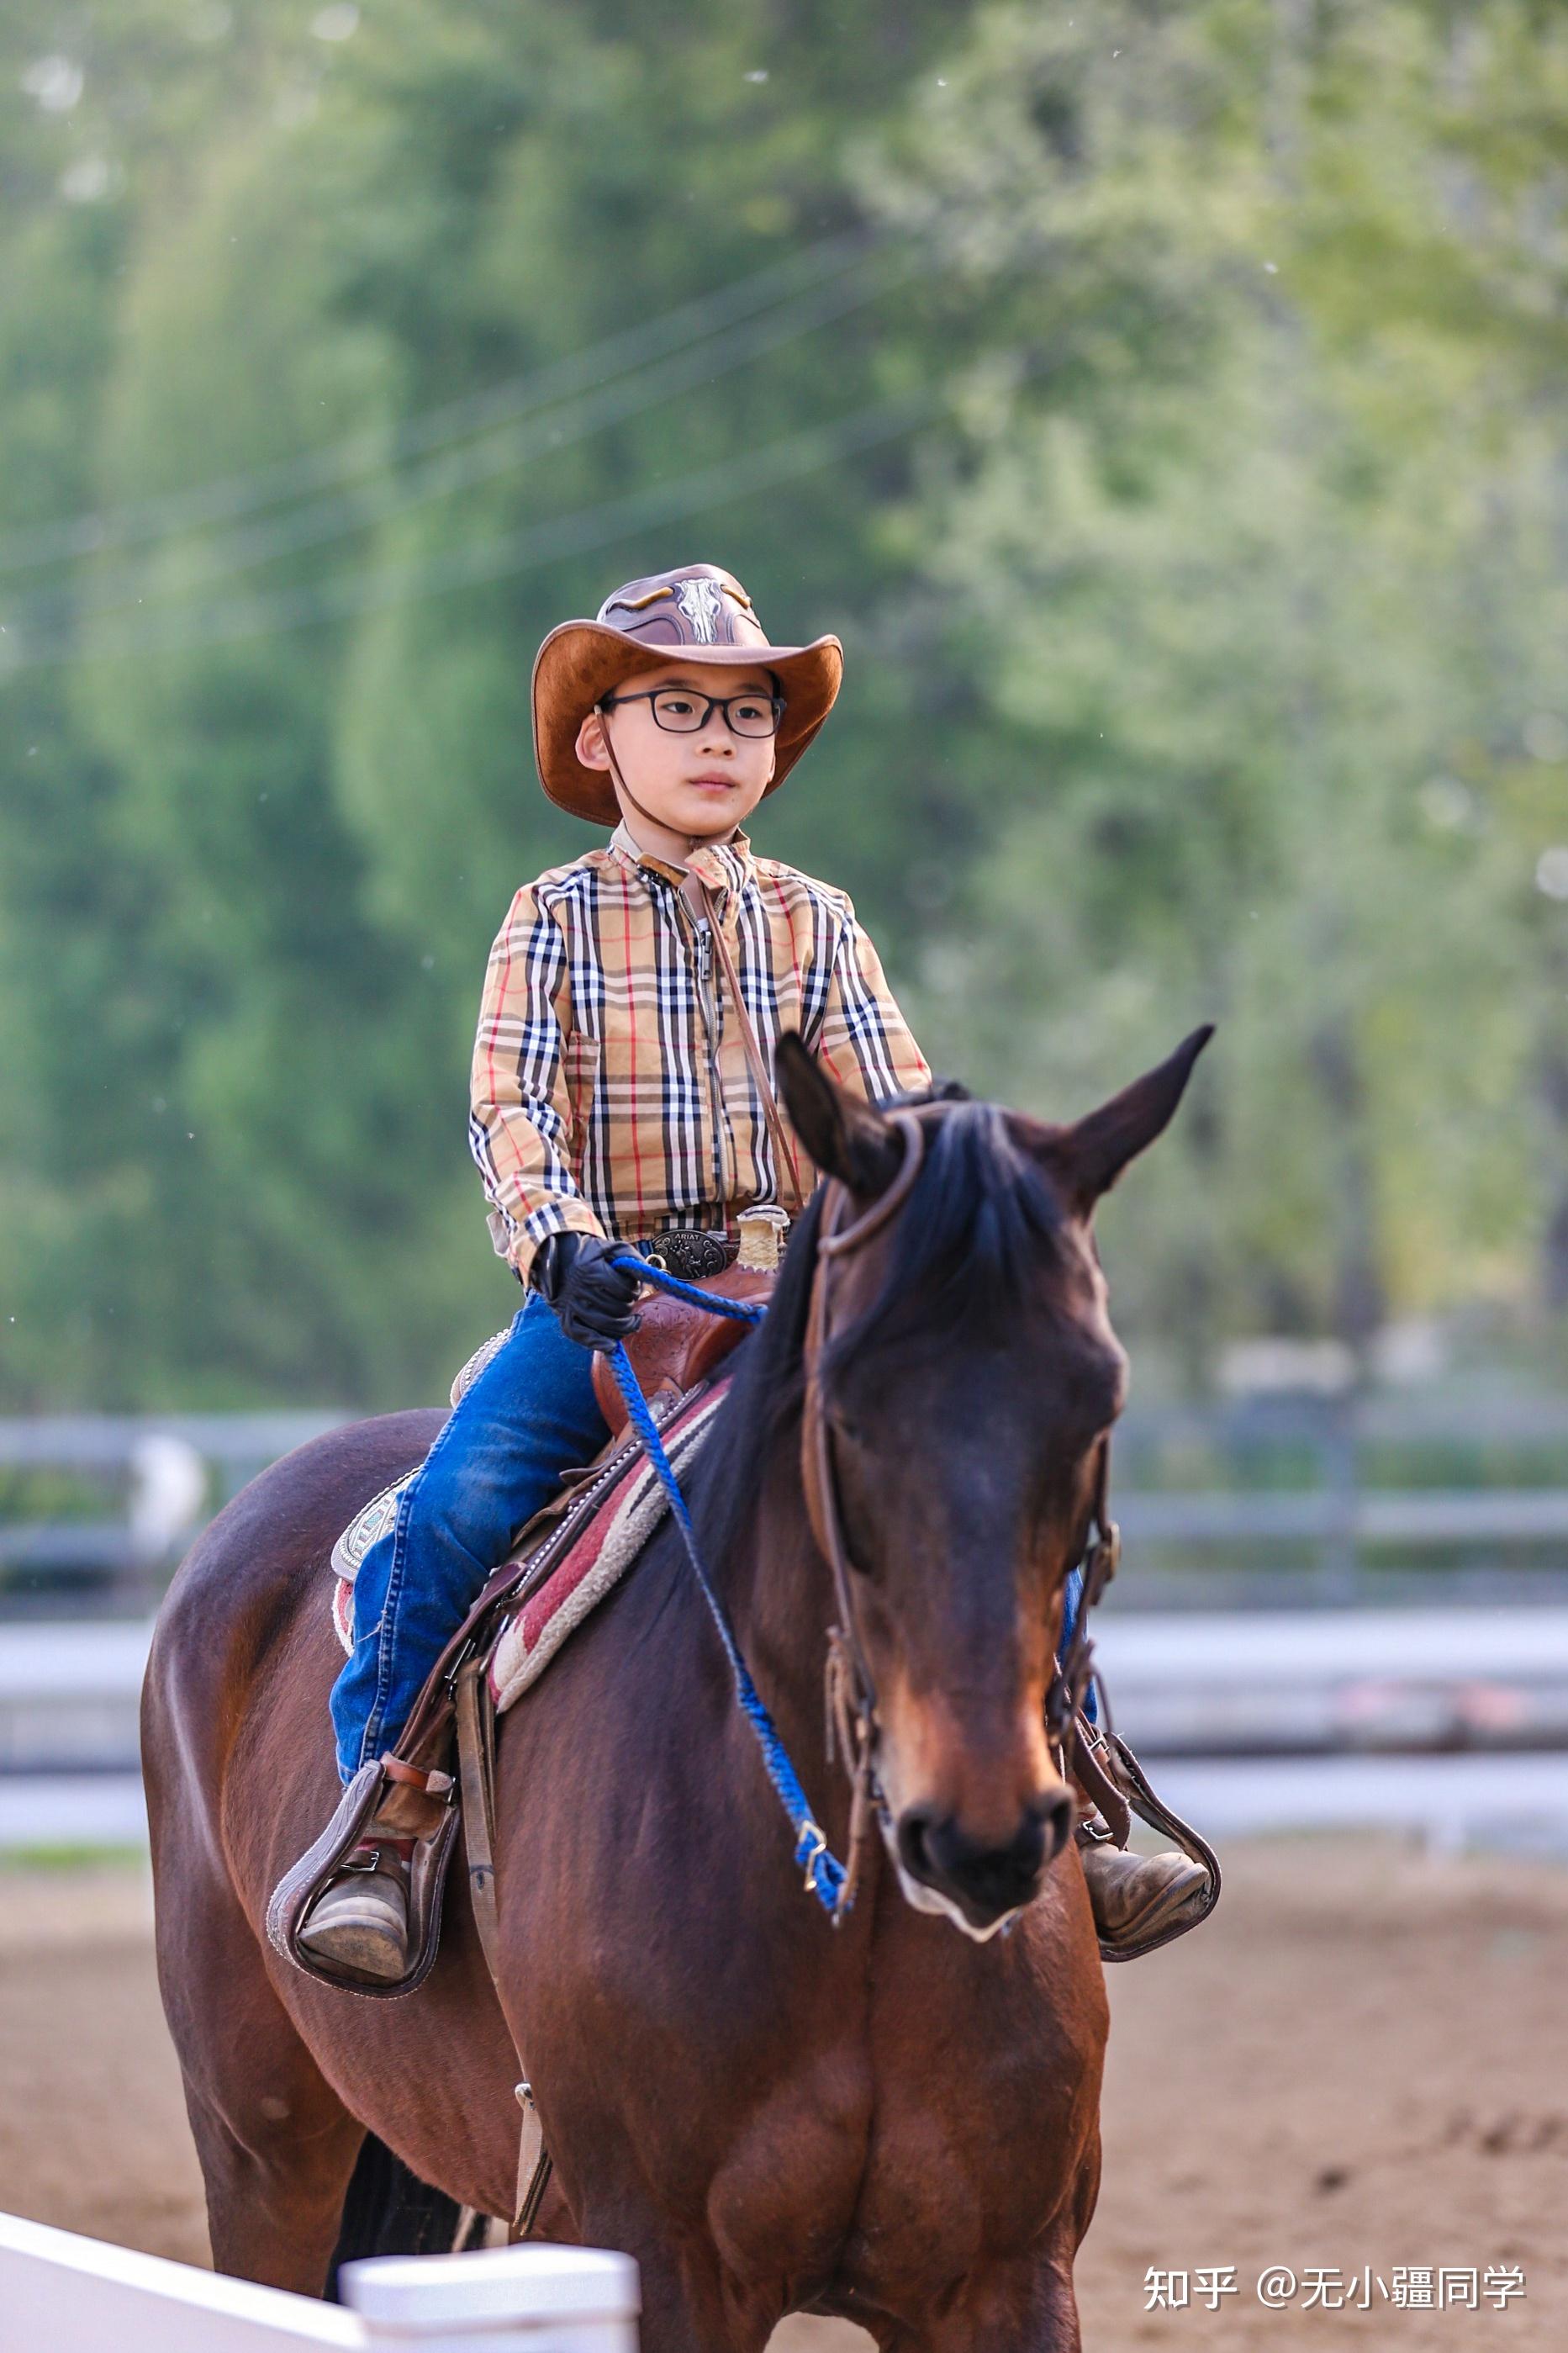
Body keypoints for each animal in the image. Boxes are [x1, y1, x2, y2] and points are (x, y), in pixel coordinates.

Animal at [138, 1035, 1212, 2353]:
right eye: (842, 1402)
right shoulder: (661, 2263)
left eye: (1098, 1396)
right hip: (264, 2144)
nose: (978, 1828)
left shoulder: (1006, 2274)